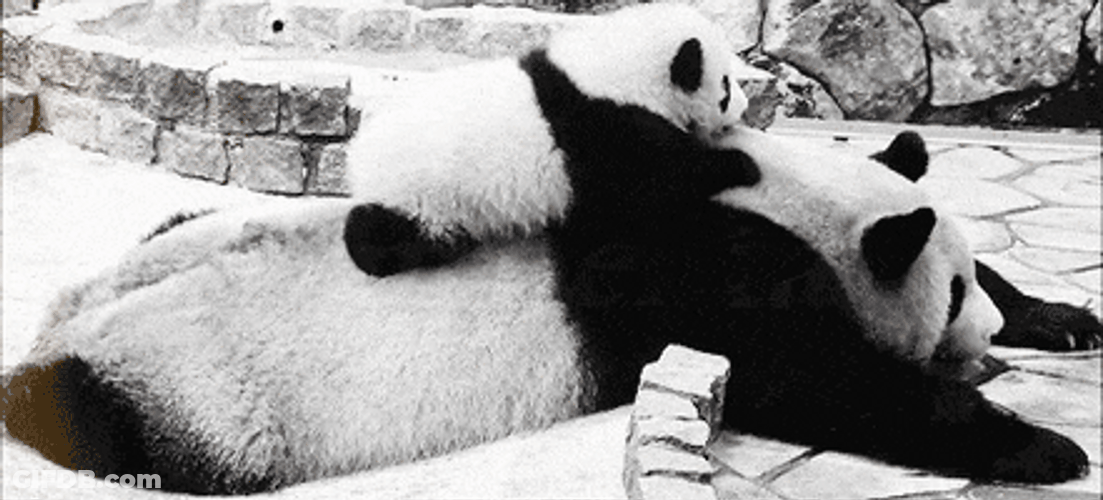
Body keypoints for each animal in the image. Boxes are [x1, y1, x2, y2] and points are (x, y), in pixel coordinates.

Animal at [3, 129, 1100, 495]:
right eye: (946, 296)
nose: (984, 344)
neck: (777, 196)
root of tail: (58, 336)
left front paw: (1059, 316)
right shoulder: (710, 278)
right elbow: (827, 384)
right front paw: (1044, 445)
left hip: (174, 233)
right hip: (200, 400)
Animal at [343, 3, 758, 277]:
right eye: (724, 87)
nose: (746, 105)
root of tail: (359, 158)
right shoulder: (600, 128)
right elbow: (653, 186)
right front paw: (740, 164)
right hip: (422, 193)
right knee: (380, 231)